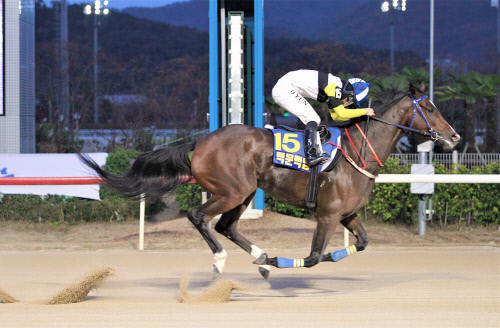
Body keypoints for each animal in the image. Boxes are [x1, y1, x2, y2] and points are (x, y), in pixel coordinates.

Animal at [79, 82, 460, 280]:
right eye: (430, 107)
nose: (454, 137)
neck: (357, 151)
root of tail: (199, 142)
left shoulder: (347, 214)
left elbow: (363, 243)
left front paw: (272, 261)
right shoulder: (327, 215)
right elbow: (313, 257)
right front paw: (279, 261)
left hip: (246, 192)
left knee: (226, 227)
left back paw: (259, 257)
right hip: (232, 191)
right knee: (199, 217)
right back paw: (223, 262)